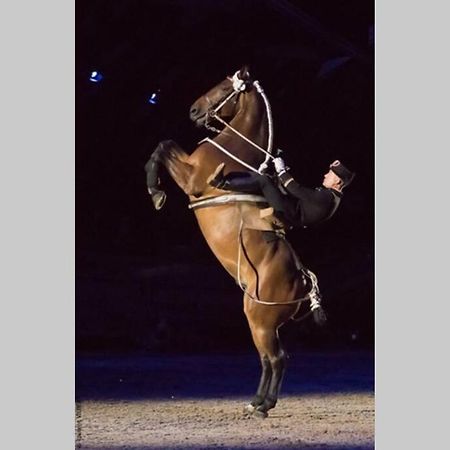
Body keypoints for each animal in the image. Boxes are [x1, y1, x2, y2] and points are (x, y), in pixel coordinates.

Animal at [145, 67, 320, 418]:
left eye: (225, 88)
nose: (194, 110)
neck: (237, 152)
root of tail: (303, 282)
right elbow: (164, 144)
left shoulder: (191, 179)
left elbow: (163, 146)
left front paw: (155, 191)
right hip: (259, 320)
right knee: (268, 358)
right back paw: (255, 402)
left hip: (260, 319)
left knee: (276, 358)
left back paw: (263, 405)